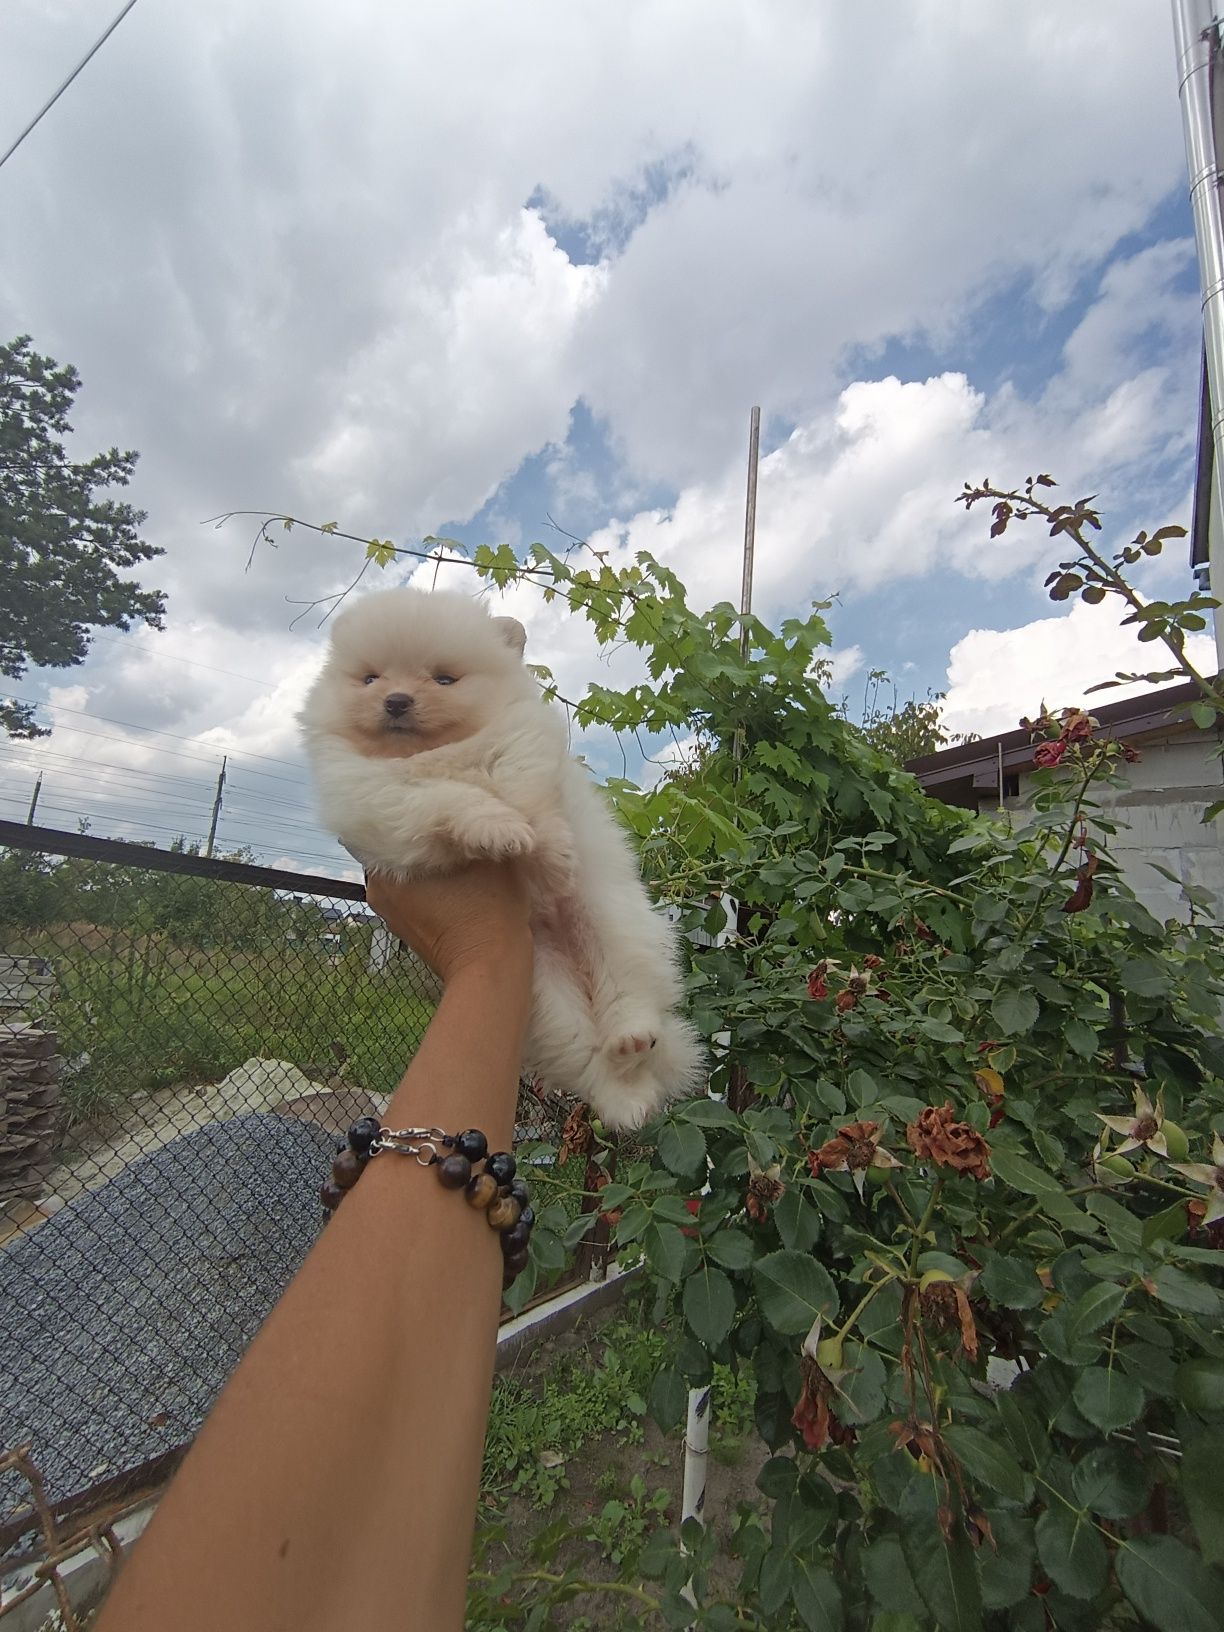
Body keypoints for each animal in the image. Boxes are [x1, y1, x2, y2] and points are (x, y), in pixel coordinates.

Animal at [300, 587, 708, 1135]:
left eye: (443, 679)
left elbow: (529, 793)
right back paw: (626, 1089)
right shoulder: (378, 801)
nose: (396, 700)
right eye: (370, 679)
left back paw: (632, 1037)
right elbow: (450, 799)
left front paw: (550, 856)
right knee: (589, 1058)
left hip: (613, 924)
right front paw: (503, 831)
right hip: (545, 999)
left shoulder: (522, 744)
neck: (437, 754)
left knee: (633, 992)